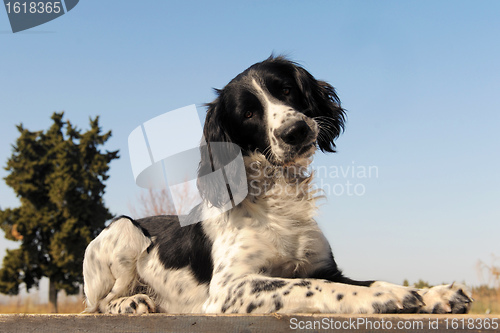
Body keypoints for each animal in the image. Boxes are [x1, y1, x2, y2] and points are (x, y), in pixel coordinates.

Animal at [82, 55, 472, 312]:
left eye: (285, 89)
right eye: (248, 114)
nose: (295, 130)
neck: (277, 201)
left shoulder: (325, 266)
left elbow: (349, 279)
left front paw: (434, 293)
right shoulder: (229, 288)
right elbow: (310, 285)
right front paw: (388, 296)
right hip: (125, 231)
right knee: (100, 303)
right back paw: (132, 302)